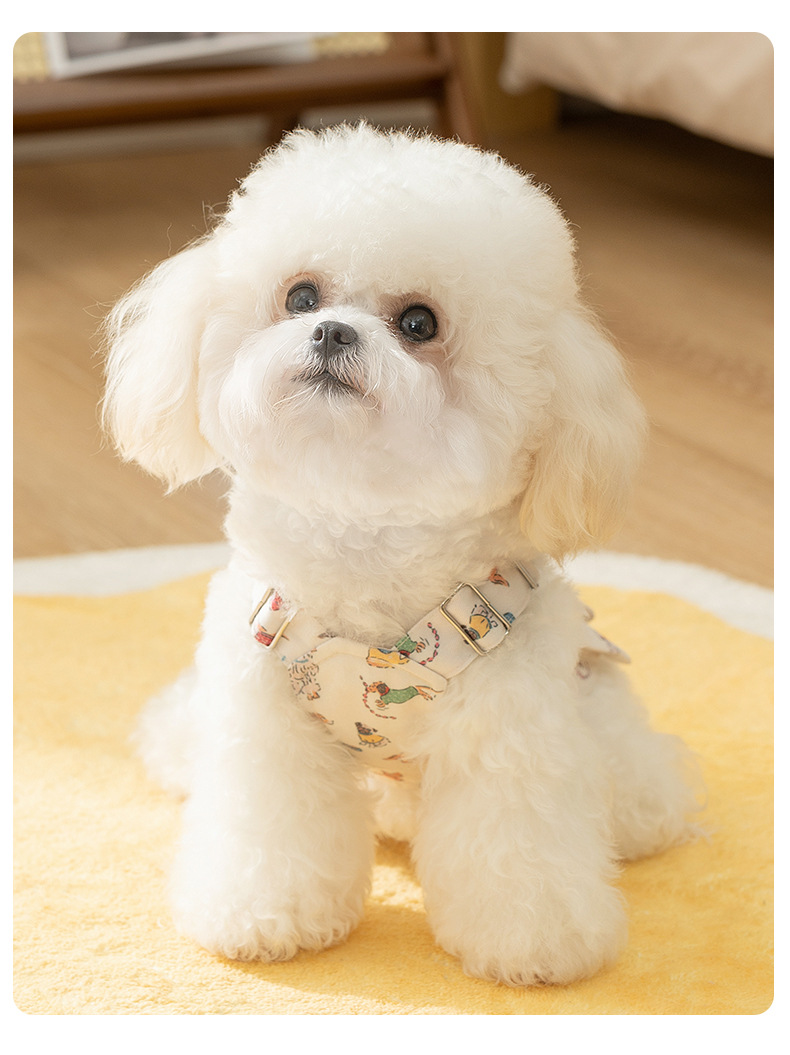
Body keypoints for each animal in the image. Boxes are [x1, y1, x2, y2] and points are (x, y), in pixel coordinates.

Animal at [103, 123, 701, 986]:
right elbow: (270, 827)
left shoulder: (509, 728)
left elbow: (516, 846)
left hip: (601, 723)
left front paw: (531, 943)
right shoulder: (264, 717)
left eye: (419, 323)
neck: (365, 531)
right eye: (301, 296)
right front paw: (265, 916)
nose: (331, 331)